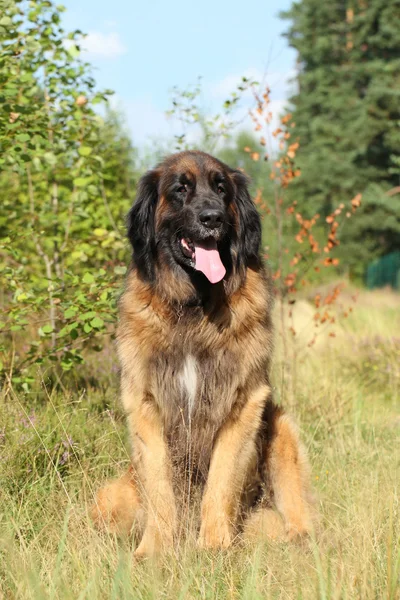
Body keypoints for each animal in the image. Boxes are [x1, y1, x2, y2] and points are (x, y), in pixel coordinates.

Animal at [90, 150, 312, 556]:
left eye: (221, 188)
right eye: (181, 189)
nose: (213, 218)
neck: (194, 307)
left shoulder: (244, 401)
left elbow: (221, 480)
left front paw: (213, 546)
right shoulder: (146, 403)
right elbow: (159, 484)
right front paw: (155, 549)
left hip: (280, 426)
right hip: (112, 495)